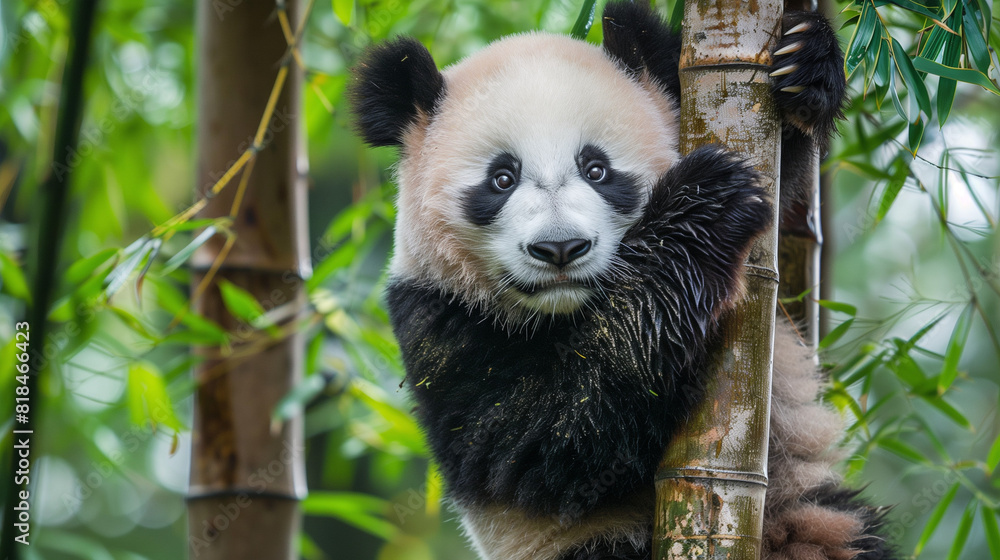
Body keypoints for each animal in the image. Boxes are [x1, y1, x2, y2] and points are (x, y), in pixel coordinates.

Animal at [349, 2, 895, 559]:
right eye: (501, 179)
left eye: (597, 169)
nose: (561, 248)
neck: (569, 310)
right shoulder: (433, 318)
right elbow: (559, 436)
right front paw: (707, 199)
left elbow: (780, 196)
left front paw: (805, 61)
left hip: (815, 511)